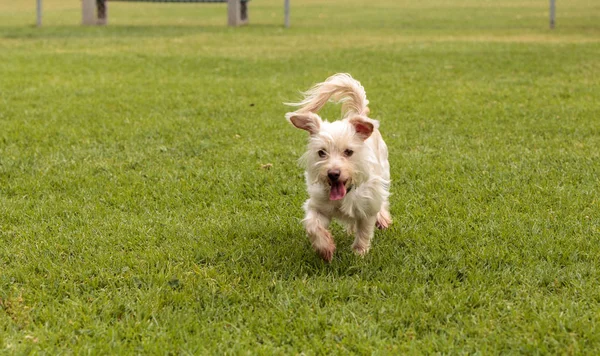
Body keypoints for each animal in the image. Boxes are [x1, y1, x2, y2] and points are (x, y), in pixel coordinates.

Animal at [288, 73, 394, 262]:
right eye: (321, 152)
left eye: (348, 152)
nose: (333, 173)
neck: (344, 195)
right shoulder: (318, 205)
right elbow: (312, 225)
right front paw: (325, 248)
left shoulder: (367, 209)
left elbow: (364, 231)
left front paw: (359, 253)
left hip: (383, 170)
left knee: (383, 199)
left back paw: (382, 218)